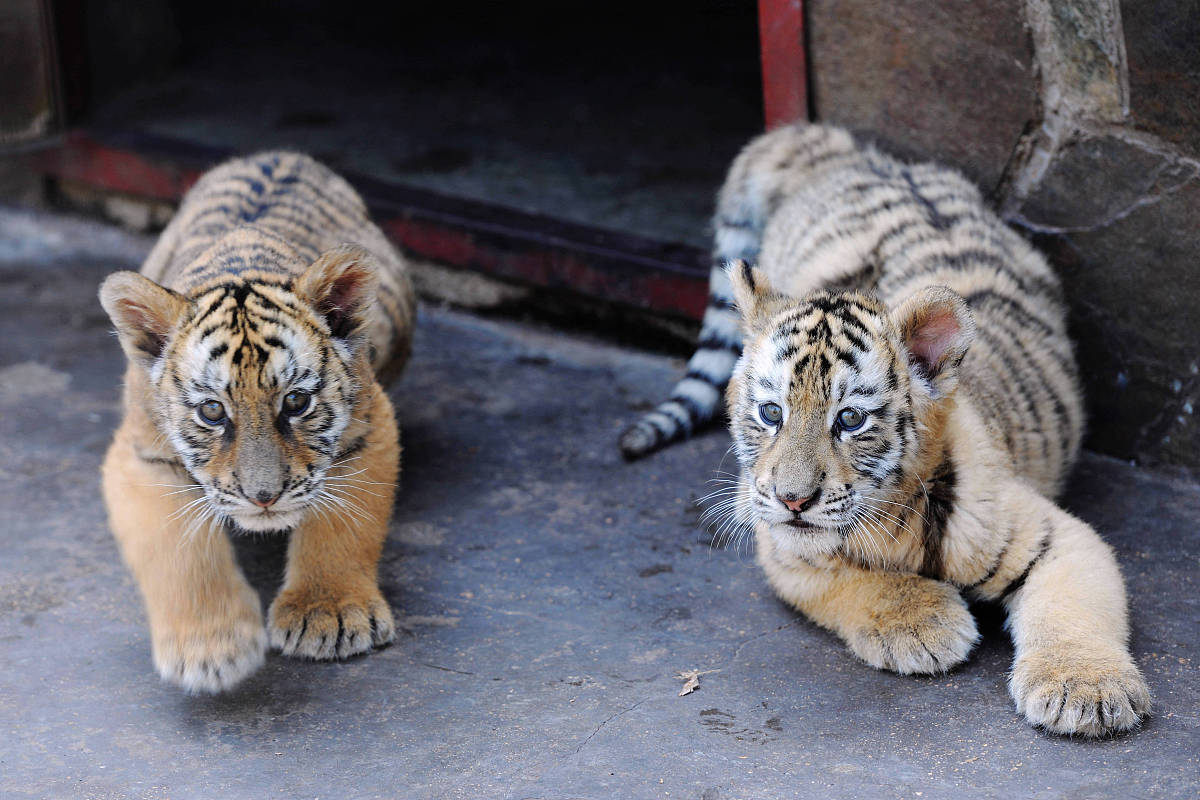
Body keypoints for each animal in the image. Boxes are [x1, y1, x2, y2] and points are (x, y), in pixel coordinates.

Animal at [99, 151, 416, 694]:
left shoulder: (368, 426)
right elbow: (177, 551)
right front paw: (210, 646)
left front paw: (330, 616)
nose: (263, 497)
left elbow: (344, 524)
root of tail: (279, 154)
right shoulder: (141, 458)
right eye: (212, 411)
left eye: (296, 402)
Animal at [621, 123, 1150, 736]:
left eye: (850, 419)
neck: (898, 516)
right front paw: (922, 623)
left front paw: (1086, 689)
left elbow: (1072, 608)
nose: (793, 499)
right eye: (772, 413)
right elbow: (850, 576)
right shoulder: (784, 546)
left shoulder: (1055, 536)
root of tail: (834, 147)